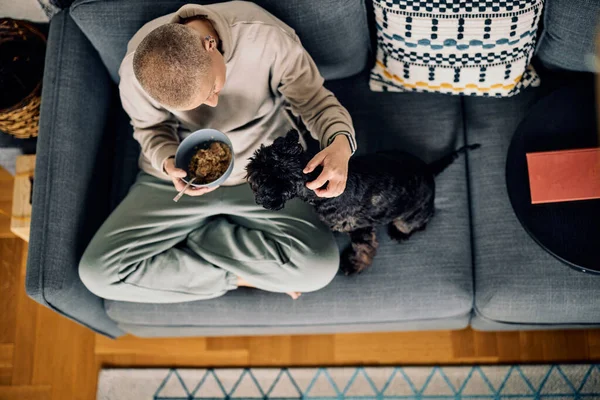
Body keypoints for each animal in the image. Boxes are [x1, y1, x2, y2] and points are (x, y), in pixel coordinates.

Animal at [246, 131, 480, 276]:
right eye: (262, 156)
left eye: (262, 176)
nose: (249, 166)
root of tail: (430, 171)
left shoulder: (361, 228)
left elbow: (363, 249)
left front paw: (354, 265)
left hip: (411, 216)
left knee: (419, 222)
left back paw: (400, 234)